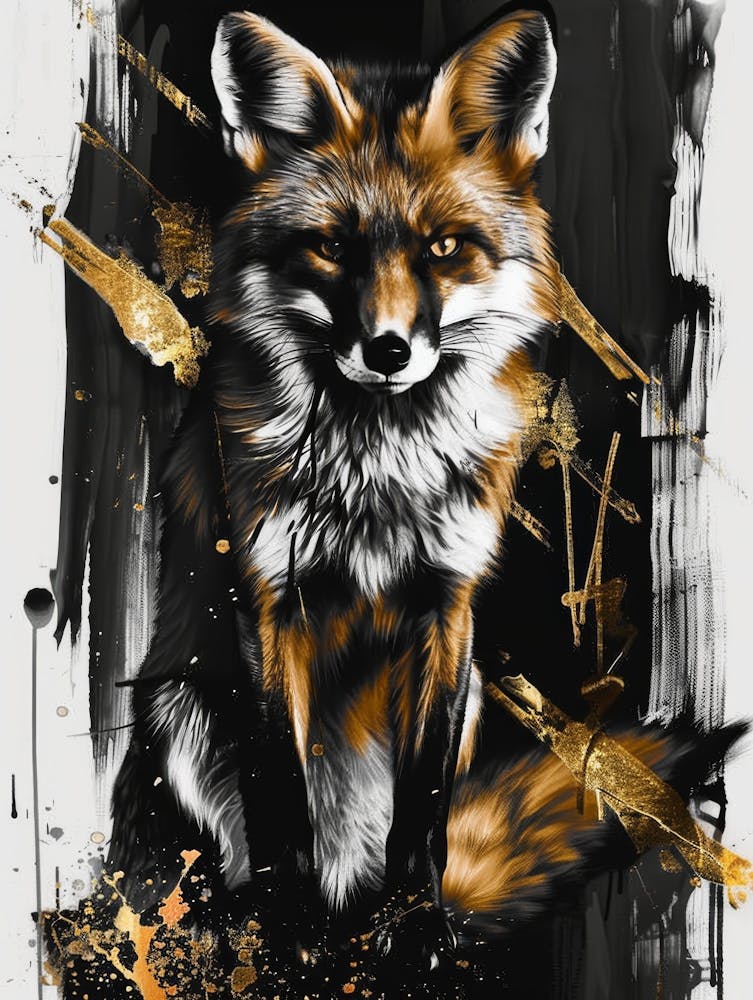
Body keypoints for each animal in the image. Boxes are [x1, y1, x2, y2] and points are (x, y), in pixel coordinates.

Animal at [106, 6, 727, 977]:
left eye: (442, 248)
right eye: (330, 247)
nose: (390, 350)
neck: (377, 477)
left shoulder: (449, 607)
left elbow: (426, 805)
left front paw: (418, 927)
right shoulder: (267, 603)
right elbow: (280, 797)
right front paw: (289, 934)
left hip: (470, 693)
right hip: (178, 708)